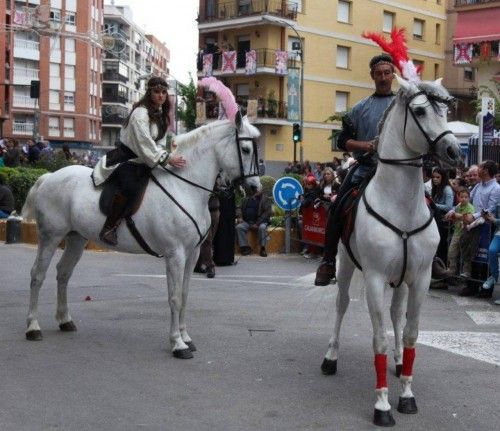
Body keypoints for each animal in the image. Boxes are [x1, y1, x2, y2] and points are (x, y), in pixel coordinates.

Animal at [21, 110, 260, 358]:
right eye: (245, 149)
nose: (255, 188)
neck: (184, 187)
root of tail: (48, 177)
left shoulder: (192, 255)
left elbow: (184, 296)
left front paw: (186, 337)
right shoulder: (175, 255)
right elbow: (174, 298)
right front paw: (177, 343)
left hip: (76, 239)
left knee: (63, 273)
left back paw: (64, 320)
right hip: (50, 237)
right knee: (38, 275)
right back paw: (33, 327)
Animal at [320, 76, 460, 426]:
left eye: (445, 110)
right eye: (420, 111)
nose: (453, 150)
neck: (401, 205)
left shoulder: (420, 278)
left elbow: (409, 333)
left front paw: (407, 394)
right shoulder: (374, 278)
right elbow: (379, 339)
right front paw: (382, 405)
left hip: (402, 279)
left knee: (396, 312)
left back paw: (398, 362)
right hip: (345, 265)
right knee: (341, 304)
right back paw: (330, 357)